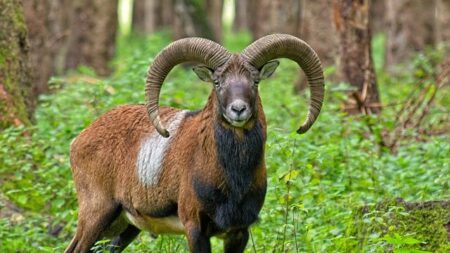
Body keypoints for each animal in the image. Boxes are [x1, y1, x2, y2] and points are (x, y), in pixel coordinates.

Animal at [65, 34, 324, 253]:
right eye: (217, 82)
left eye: (255, 82)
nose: (238, 109)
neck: (233, 178)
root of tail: (80, 139)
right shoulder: (195, 229)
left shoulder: (238, 233)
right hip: (96, 215)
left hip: (125, 228)